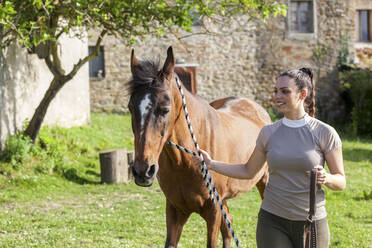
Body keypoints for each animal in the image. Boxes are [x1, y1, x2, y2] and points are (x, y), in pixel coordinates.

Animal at [128, 47, 270, 248]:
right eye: (130, 107)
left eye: (164, 109)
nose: (143, 171)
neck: (185, 162)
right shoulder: (175, 209)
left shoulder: (214, 210)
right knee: (228, 226)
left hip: (263, 182)